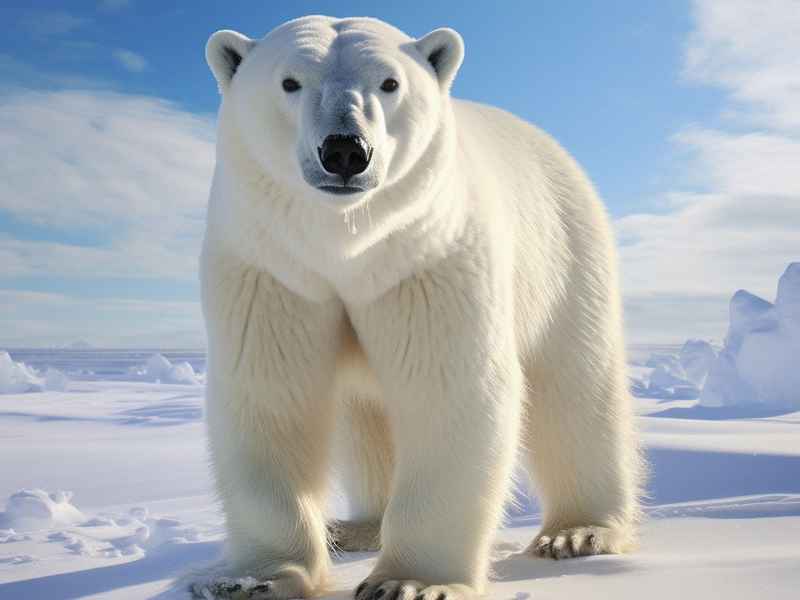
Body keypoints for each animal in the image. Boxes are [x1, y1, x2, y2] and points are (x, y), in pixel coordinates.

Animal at [195, 14, 642, 600]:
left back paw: (579, 532)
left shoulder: (429, 260)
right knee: (365, 415)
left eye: (390, 83)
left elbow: (448, 391)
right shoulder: (272, 271)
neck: (346, 246)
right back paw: (360, 525)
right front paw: (253, 580)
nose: (345, 150)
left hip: (566, 253)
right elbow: (271, 397)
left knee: (575, 387)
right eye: (290, 82)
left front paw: (409, 581)